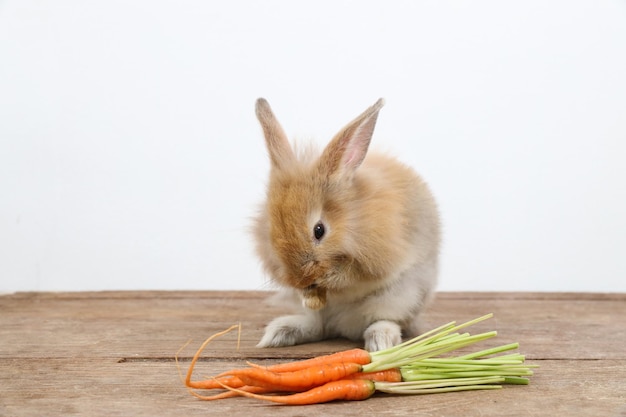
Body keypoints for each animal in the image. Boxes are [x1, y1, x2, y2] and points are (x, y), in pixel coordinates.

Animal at [250, 98, 438, 352]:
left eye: (319, 230)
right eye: (272, 231)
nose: (300, 280)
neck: (350, 221)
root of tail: (345, 327)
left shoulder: (378, 258)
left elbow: (354, 276)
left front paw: (329, 278)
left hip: (400, 298)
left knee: (385, 321)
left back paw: (380, 342)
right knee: (319, 327)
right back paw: (278, 335)